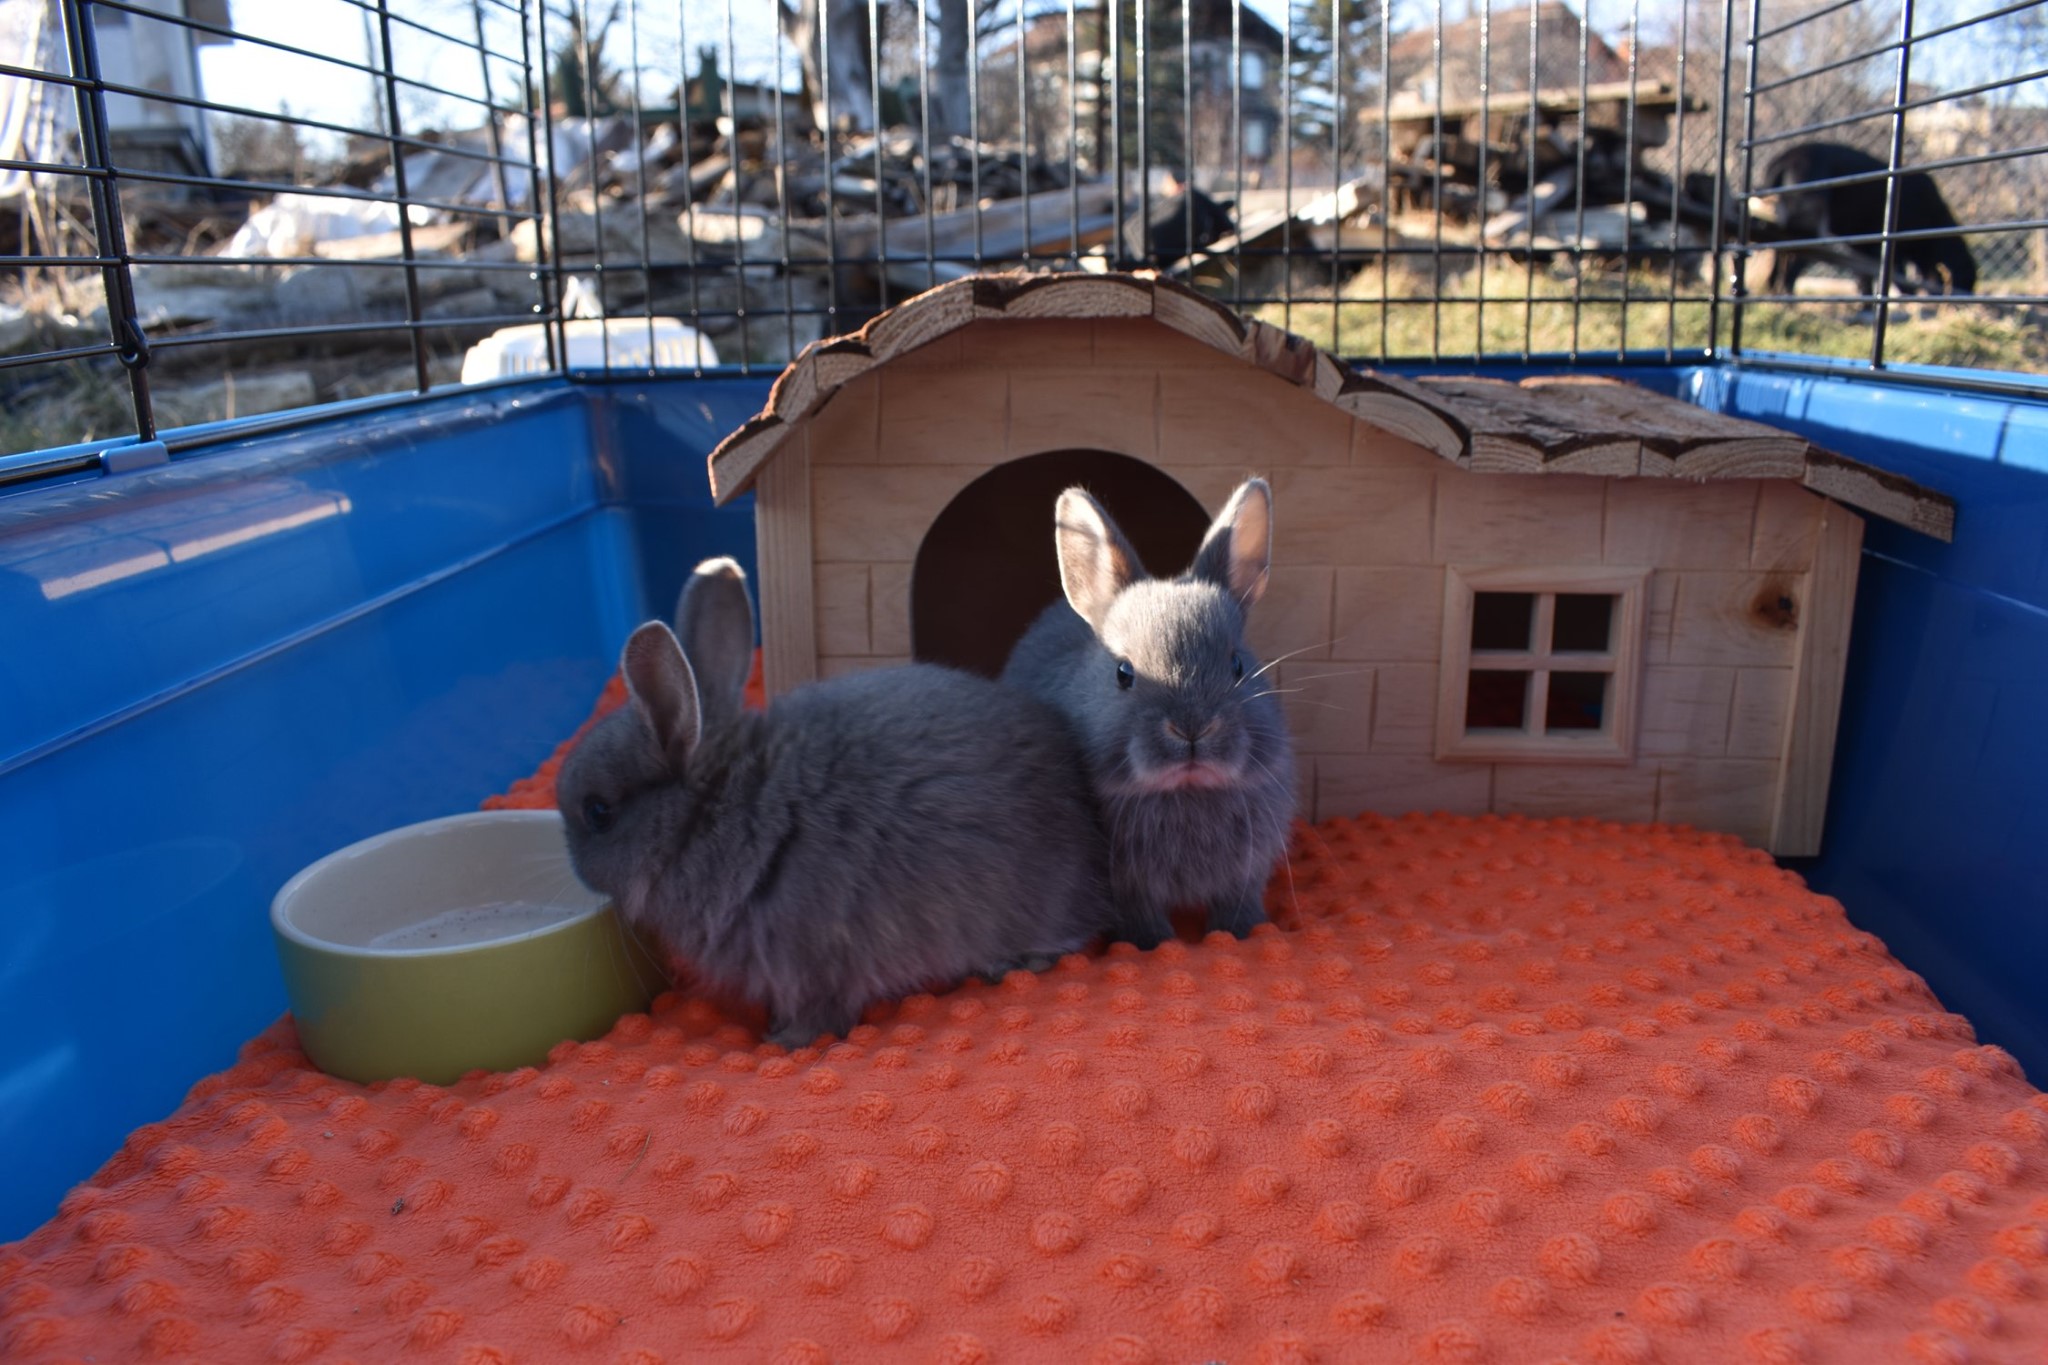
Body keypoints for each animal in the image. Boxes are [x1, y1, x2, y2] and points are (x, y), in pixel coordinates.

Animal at [557, 556, 1113, 1048]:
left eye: (598, 813)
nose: (577, 873)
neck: (712, 812)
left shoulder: (807, 966)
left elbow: (820, 1019)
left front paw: (781, 1042)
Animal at [1002, 478, 1296, 948]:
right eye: (1123, 673)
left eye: (1237, 664)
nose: (1192, 728)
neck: (1186, 791)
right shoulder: (1125, 885)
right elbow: (1140, 915)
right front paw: (1154, 944)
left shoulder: (1247, 869)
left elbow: (1237, 902)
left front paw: (1241, 933)